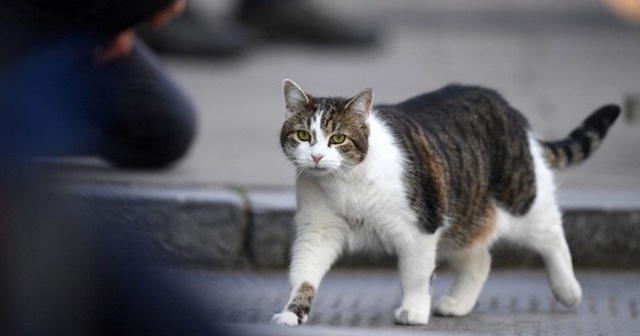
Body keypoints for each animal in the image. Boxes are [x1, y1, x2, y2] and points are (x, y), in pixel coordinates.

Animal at [272, 79, 620, 326]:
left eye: (338, 139)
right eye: (303, 136)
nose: (317, 157)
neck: (344, 183)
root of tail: (509, 109)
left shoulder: (420, 228)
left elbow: (415, 275)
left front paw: (413, 310)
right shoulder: (318, 231)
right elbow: (304, 273)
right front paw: (292, 313)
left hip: (522, 200)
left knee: (552, 236)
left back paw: (569, 290)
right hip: (463, 218)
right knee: (480, 261)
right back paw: (458, 304)